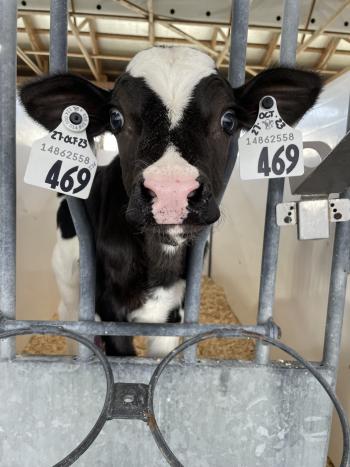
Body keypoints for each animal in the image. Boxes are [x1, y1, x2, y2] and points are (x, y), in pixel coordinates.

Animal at [19, 45, 322, 356]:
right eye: (116, 118)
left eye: (228, 120)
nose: (171, 191)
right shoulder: (110, 310)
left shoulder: (175, 313)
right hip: (68, 281)